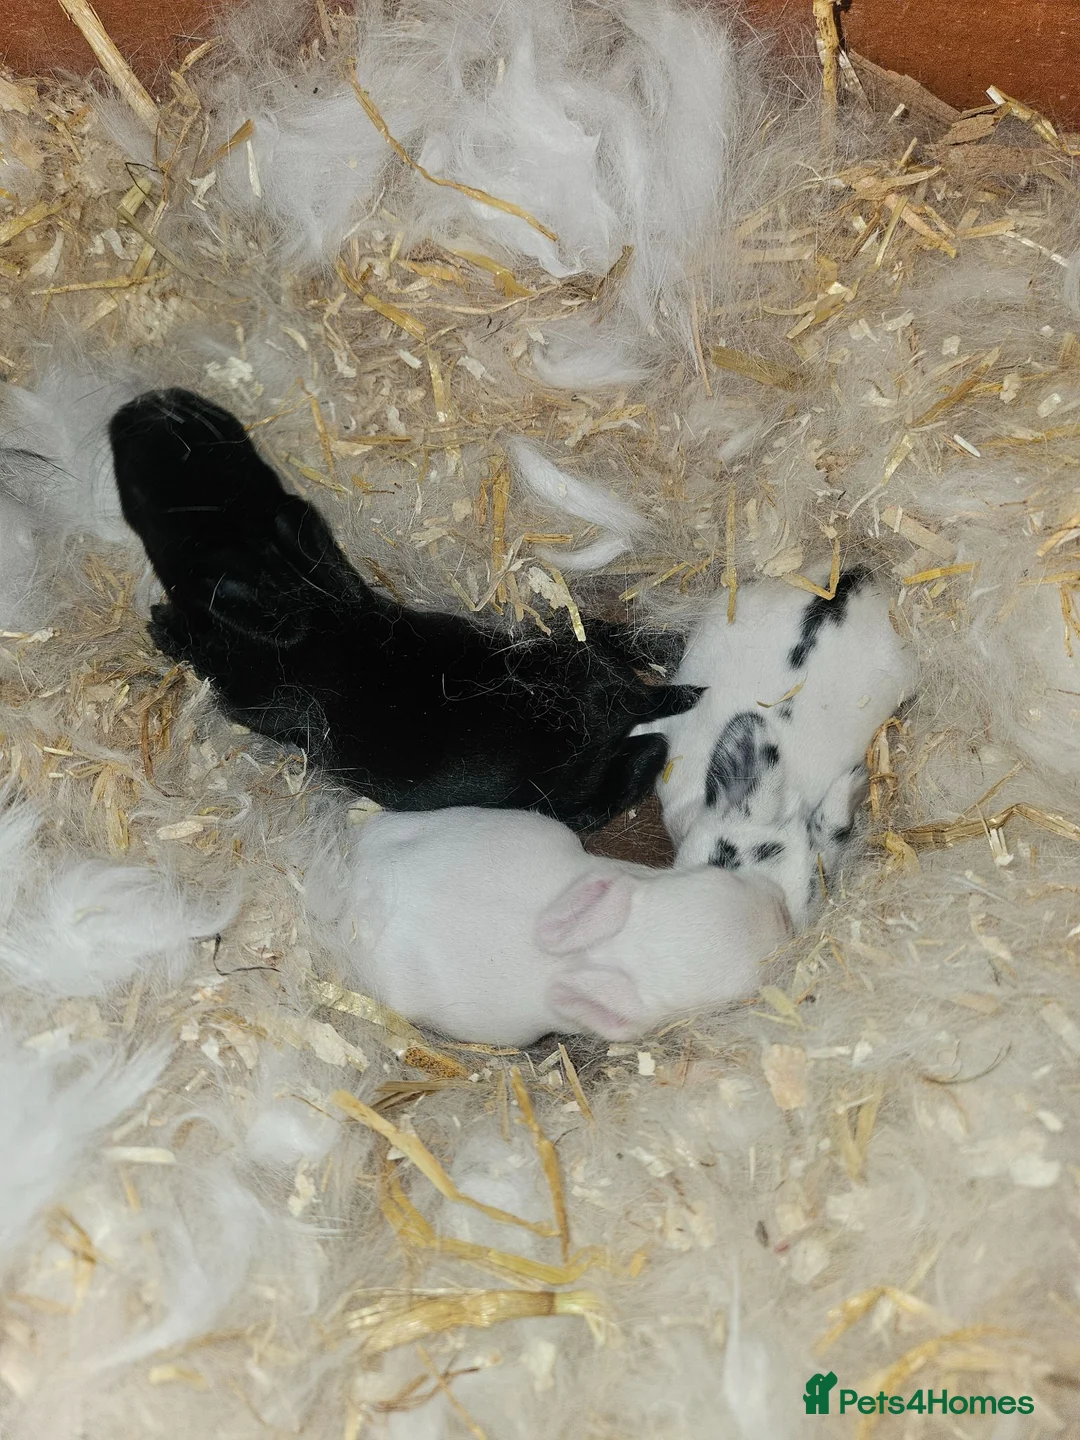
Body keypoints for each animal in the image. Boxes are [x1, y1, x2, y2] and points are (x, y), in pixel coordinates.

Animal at [108, 388, 700, 832]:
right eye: (221, 436)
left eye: (138, 489)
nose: (145, 403)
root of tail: (622, 698)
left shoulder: (246, 694)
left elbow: (206, 660)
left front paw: (164, 625)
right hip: (564, 637)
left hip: (569, 783)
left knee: (638, 763)